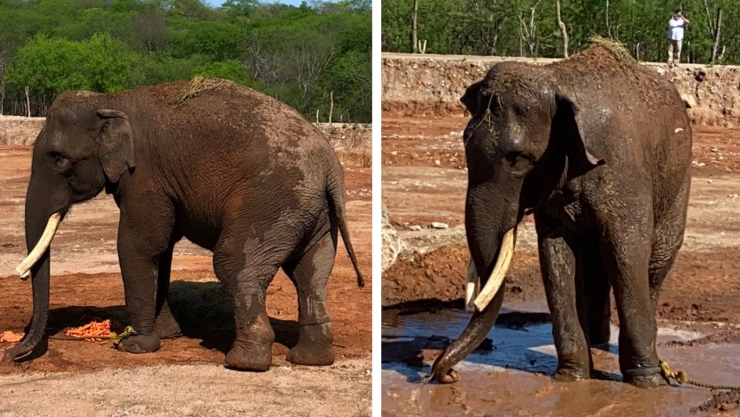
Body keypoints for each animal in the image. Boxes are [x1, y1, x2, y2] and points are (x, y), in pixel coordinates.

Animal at [4, 77, 365, 371]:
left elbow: (138, 245)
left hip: (272, 202)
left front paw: (136, 345)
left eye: (59, 159)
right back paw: (310, 359)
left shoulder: (144, 177)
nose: (11, 355)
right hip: (313, 211)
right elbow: (161, 249)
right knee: (310, 272)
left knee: (235, 263)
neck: (111, 100)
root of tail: (331, 167)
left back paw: (243, 362)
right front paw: (169, 335)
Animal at [430, 40, 692, 388]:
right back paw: (598, 341)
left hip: (679, 178)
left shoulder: (622, 172)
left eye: (518, 159)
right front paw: (571, 377)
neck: (554, 80)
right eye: (464, 145)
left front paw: (647, 382)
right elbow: (555, 257)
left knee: (653, 266)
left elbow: (626, 253)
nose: (447, 375)